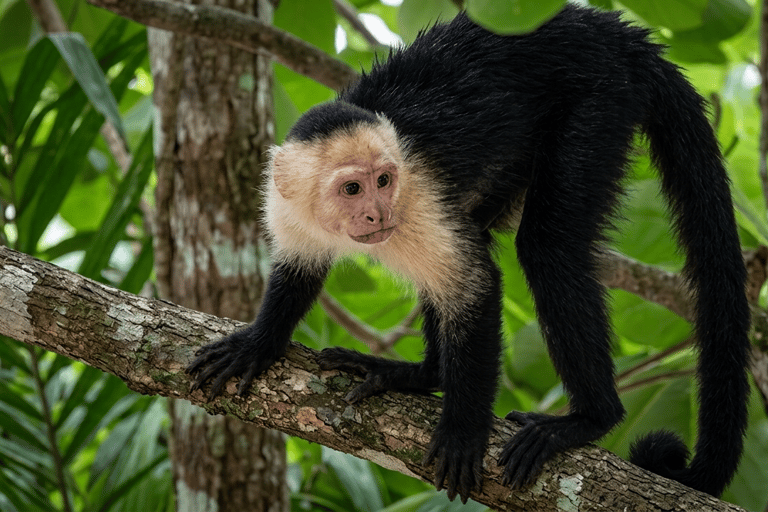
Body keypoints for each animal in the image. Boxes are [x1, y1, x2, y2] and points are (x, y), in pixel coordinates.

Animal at [187, 4, 751, 503]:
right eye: (352, 189)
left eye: (384, 181)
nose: (376, 214)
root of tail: (613, 30)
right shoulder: (285, 205)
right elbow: (298, 272)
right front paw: (259, 343)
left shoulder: (416, 200)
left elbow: (476, 288)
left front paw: (462, 431)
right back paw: (422, 375)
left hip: (600, 97)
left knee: (547, 249)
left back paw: (589, 418)